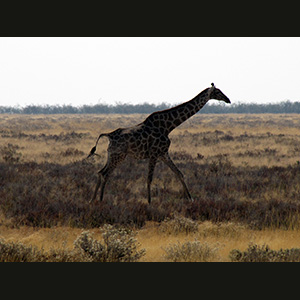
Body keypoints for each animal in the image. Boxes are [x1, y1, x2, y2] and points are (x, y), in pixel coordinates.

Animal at [88, 83, 231, 203]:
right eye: (218, 92)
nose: (228, 100)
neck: (168, 126)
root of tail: (109, 135)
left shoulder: (163, 153)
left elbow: (179, 173)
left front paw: (191, 198)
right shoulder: (154, 153)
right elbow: (149, 178)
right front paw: (149, 202)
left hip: (111, 155)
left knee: (100, 172)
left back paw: (92, 200)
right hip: (119, 156)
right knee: (106, 174)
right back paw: (101, 200)